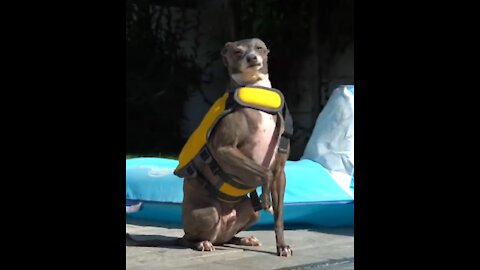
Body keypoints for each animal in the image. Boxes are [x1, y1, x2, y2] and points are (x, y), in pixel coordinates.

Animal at [173, 37, 290, 255]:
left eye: (259, 48)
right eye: (237, 52)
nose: (252, 58)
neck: (257, 94)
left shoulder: (280, 170)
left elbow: (278, 216)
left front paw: (282, 246)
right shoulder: (225, 150)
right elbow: (264, 173)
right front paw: (266, 200)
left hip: (251, 213)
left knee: (228, 237)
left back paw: (245, 239)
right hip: (208, 213)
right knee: (188, 238)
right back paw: (201, 243)